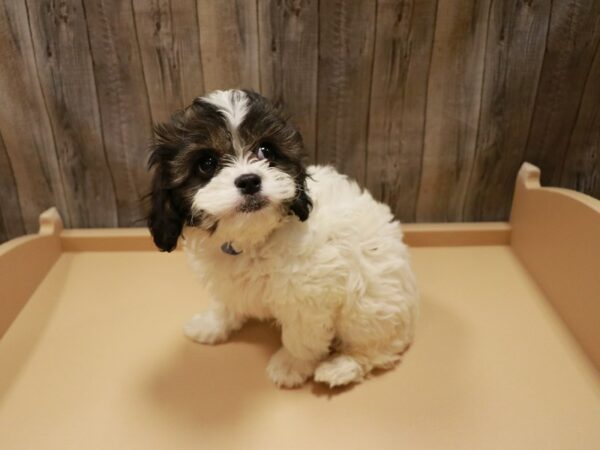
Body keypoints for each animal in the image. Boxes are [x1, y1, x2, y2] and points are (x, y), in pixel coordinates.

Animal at [147, 89, 418, 388]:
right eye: (207, 163)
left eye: (266, 151)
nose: (249, 180)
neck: (252, 240)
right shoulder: (227, 280)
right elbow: (226, 302)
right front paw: (211, 325)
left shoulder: (309, 297)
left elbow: (301, 336)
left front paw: (291, 366)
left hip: (368, 307)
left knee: (378, 348)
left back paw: (342, 366)